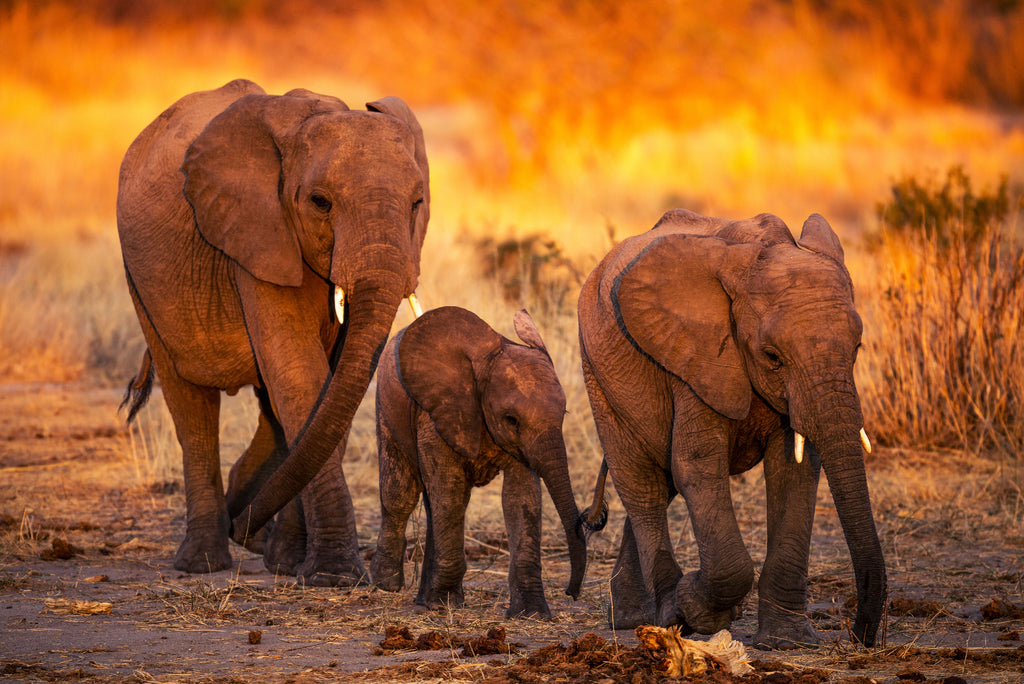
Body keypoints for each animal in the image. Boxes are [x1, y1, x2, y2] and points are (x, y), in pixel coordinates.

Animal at [116, 79, 430, 585]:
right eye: (320, 202)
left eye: (417, 203)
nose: (242, 526)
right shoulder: (256, 232)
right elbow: (300, 373)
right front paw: (334, 577)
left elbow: (329, 384)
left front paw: (291, 563)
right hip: (141, 280)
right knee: (191, 406)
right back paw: (205, 560)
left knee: (272, 410)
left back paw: (255, 538)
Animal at [371, 306, 603, 617]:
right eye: (511, 419)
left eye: (564, 413)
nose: (571, 593)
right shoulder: (438, 412)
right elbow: (450, 490)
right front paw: (446, 603)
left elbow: (521, 498)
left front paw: (532, 613)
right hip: (385, 407)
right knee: (401, 494)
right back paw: (387, 584)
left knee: (433, 503)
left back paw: (424, 599)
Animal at [578, 209, 886, 649]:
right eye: (772, 356)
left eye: (857, 347)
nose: (859, 634)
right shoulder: (694, 357)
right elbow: (697, 465)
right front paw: (701, 610)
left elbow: (793, 471)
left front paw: (787, 642)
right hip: (598, 374)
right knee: (641, 484)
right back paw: (666, 614)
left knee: (661, 481)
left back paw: (632, 616)